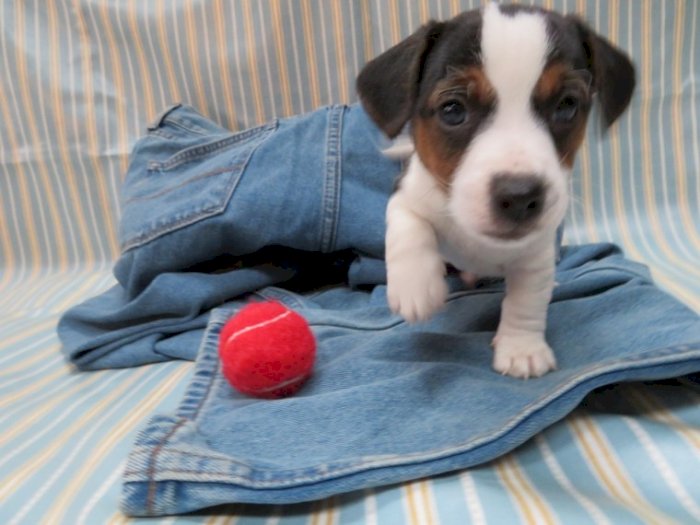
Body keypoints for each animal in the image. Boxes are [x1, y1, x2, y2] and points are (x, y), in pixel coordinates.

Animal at [358, 3, 636, 376]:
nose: (520, 197)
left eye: (566, 105)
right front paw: (416, 287)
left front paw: (521, 348)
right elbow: (408, 226)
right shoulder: (408, 193)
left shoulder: (536, 254)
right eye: (453, 110)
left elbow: (527, 301)